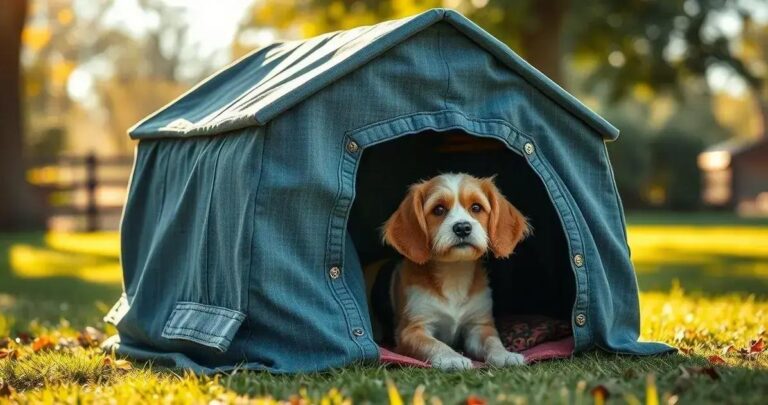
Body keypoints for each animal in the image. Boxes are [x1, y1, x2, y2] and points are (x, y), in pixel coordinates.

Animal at [376, 173, 532, 370]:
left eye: (476, 207)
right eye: (439, 209)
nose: (462, 228)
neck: (454, 271)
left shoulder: (479, 325)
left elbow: (492, 341)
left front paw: (504, 355)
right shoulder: (412, 329)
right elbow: (434, 344)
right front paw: (451, 358)